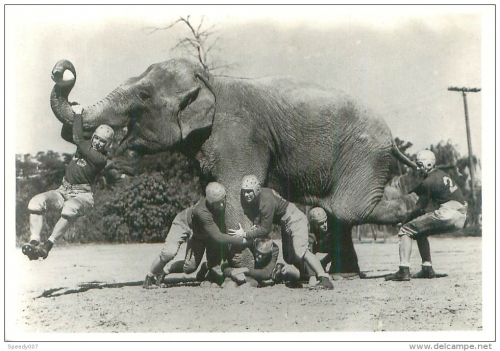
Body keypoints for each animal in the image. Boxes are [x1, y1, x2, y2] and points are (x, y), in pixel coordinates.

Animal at [49, 59, 418, 276]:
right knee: (340, 213)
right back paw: (345, 272)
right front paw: (215, 271)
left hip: (364, 156)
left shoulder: (240, 134)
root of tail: (392, 139)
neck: (210, 81)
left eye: (142, 95)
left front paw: (238, 271)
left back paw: (412, 203)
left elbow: (237, 190)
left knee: (349, 209)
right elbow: (214, 196)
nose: (62, 70)